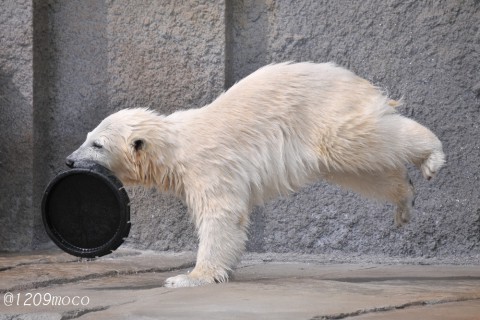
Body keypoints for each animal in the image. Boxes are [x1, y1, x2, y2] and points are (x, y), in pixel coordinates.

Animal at [65, 62, 444, 288]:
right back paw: (404, 199)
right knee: (361, 167)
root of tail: (357, 81)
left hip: (324, 115)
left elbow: (221, 215)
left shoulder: (207, 165)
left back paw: (432, 157)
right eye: (87, 136)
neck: (173, 147)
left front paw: (188, 277)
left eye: (97, 144)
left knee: (357, 138)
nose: (69, 161)